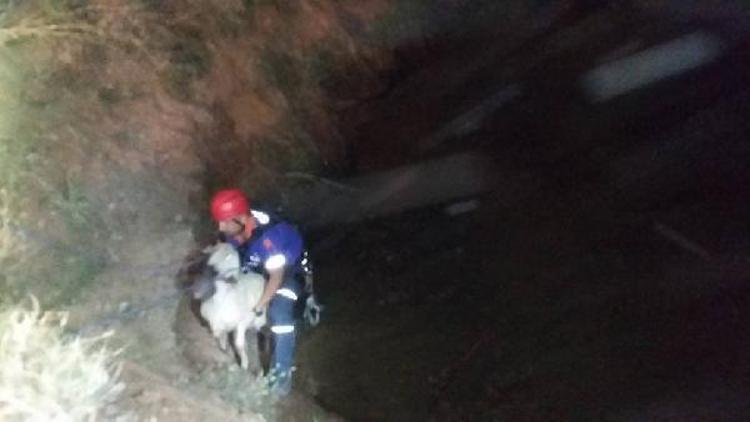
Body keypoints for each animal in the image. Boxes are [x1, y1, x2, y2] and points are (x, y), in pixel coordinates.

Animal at [197, 242, 268, 370]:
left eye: (229, 257)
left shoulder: (242, 323)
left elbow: (239, 345)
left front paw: (244, 365)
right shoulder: (219, 327)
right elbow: (222, 342)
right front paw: (225, 353)